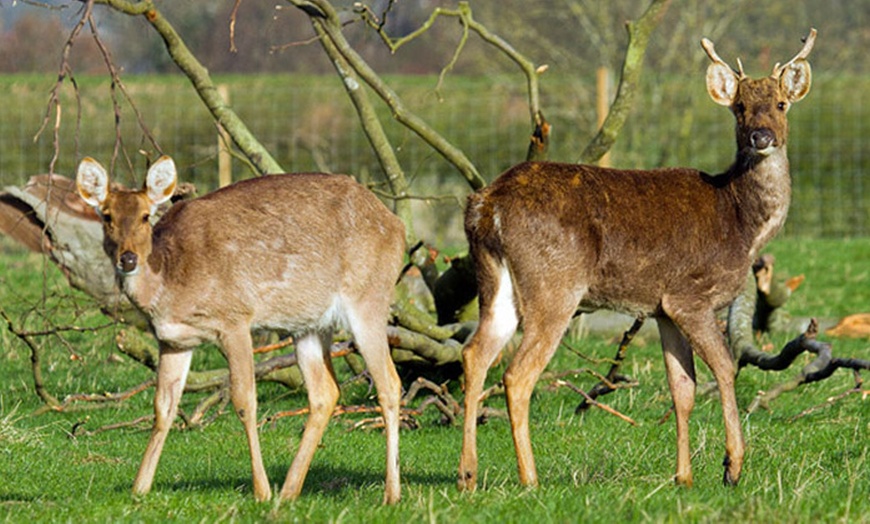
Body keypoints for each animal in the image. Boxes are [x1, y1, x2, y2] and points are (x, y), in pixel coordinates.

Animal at [77, 159, 406, 504]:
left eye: (145, 215)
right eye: (106, 215)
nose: (128, 259)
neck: (169, 285)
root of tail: (397, 225)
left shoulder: (235, 319)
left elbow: (245, 401)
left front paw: (261, 490)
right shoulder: (173, 340)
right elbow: (163, 407)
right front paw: (139, 488)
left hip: (368, 297)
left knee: (390, 383)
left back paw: (390, 494)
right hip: (309, 324)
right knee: (325, 392)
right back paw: (289, 491)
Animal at [464, 28, 816, 490]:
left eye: (780, 104)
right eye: (739, 107)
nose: (761, 136)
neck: (741, 224)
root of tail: (487, 205)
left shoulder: (661, 308)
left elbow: (682, 387)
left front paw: (683, 476)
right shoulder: (692, 295)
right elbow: (725, 369)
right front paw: (732, 465)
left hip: (495, 283)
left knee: (474, 354)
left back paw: (467, 475)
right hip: (554, 283)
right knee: (517, 374)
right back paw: (530, 479)